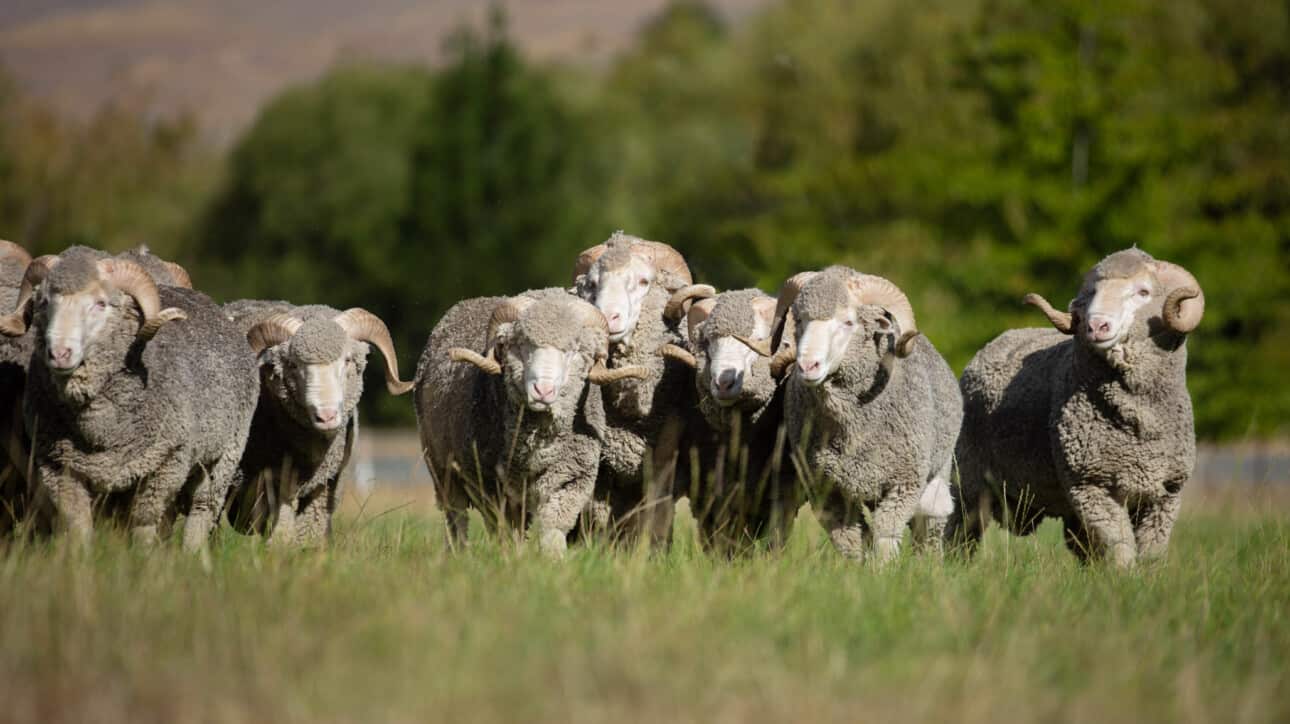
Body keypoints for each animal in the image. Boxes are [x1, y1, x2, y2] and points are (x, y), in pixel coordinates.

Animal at [0, 246, 258, 552]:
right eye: (43, 302)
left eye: (100, 304)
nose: (59, 353)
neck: (99, 430)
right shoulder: (58, 466)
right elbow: (78, 525)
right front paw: (81, 559)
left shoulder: (166, 461)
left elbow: (144, 523)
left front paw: (143, 559)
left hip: (224, 456)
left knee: (202, 508)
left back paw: (192, 553)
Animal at [220, 300, 413, 548]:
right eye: (292, 365)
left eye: (348, 360)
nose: (326, 416)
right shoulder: (275, 483)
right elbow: (281, 533)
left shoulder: (323, 487)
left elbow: (309, 534)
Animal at [416, 289, 648, 558]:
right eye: (523, 346)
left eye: (573, 351)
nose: (543, 391)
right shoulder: (490, 484)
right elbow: (504, 530)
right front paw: (510, 558)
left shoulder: (572, 478)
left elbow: (553, 526)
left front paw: (553, 559)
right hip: (440, 468)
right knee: (456, 518)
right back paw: (457, 554)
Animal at [762, 266, 960, 564]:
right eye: (799, 320)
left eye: (848, 322)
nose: (808, 366)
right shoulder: (827, 489)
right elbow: (850, 541)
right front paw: (857, 571)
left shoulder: (903, 484)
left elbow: (886, 537)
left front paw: (884, 572)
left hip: (936, 475)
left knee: (929, 528)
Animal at [948, 249, 1204, 567]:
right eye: (1092, 292)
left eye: (1144, 292)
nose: (1096, 326)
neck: (1140, 426)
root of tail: (994, 342)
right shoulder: (1090, 487)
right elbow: (1121, 550)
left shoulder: (1165, 495)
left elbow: (1150, 555)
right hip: (968, 480)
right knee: (958, 534)